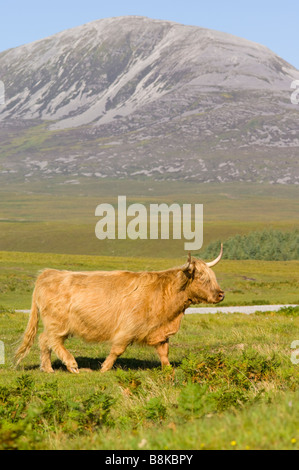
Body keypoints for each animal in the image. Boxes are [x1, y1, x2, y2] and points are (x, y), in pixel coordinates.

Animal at [14, 246, 225, 374]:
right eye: (203, 278)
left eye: (212, 277)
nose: (221, 294)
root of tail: (48, 274)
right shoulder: (127, 329)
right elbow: (117, 350)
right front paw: (104, 369)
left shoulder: (160, 332)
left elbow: (164, 353)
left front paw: (168, 369)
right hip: (57, 323)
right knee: (52, 340)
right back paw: (72, 365)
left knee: (44, 341)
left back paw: (48, 369)